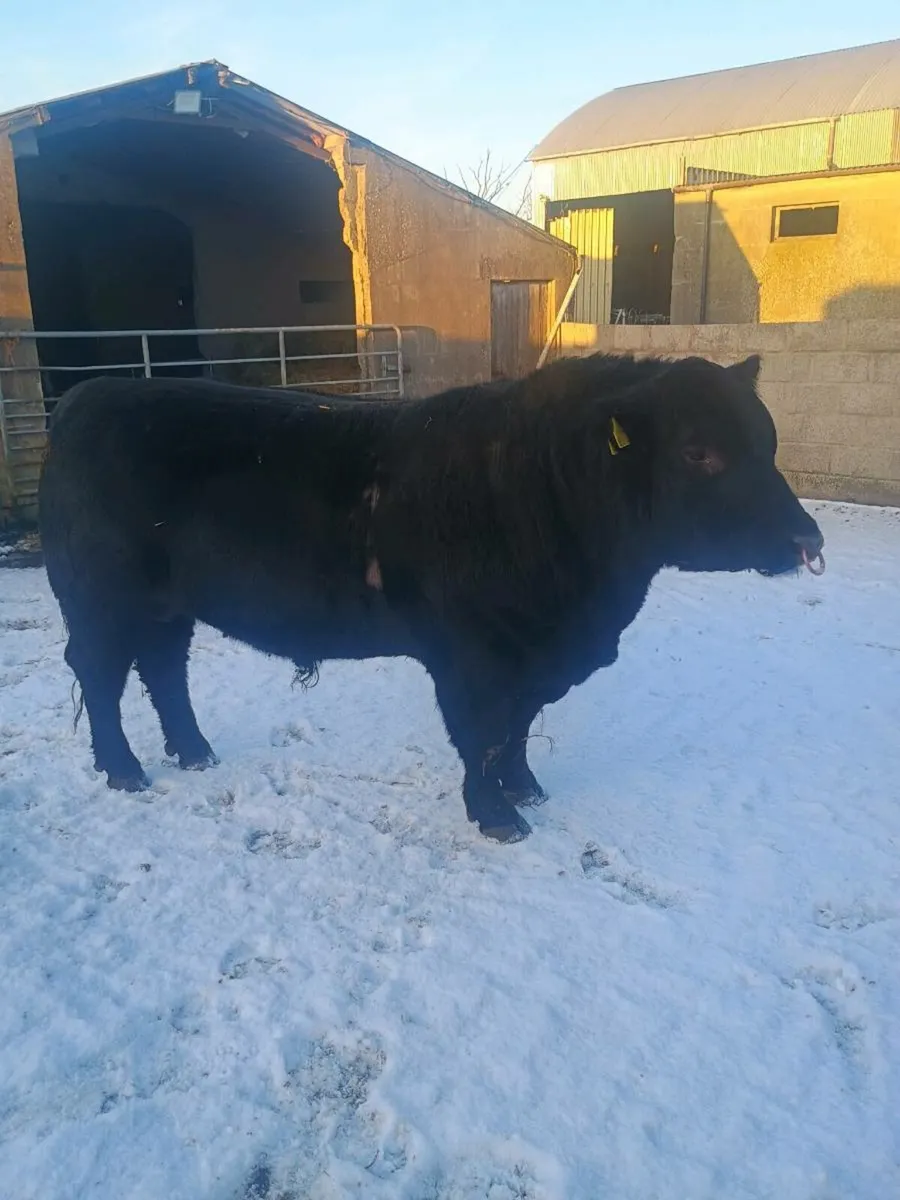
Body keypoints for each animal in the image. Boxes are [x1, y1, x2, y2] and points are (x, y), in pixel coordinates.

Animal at [38, 353, 824, 844]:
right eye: (699, 452)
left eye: (768, 441)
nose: (806, 540)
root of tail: (90, 394)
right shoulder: (473, 655)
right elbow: (481, 735)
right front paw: (498, 816)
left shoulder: (531, 657)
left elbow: (516, 729)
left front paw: (526, 788)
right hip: (101, 598)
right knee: (102, 674)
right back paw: (125, 770)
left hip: (167, 603)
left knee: (163, 667)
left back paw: (195, 752)